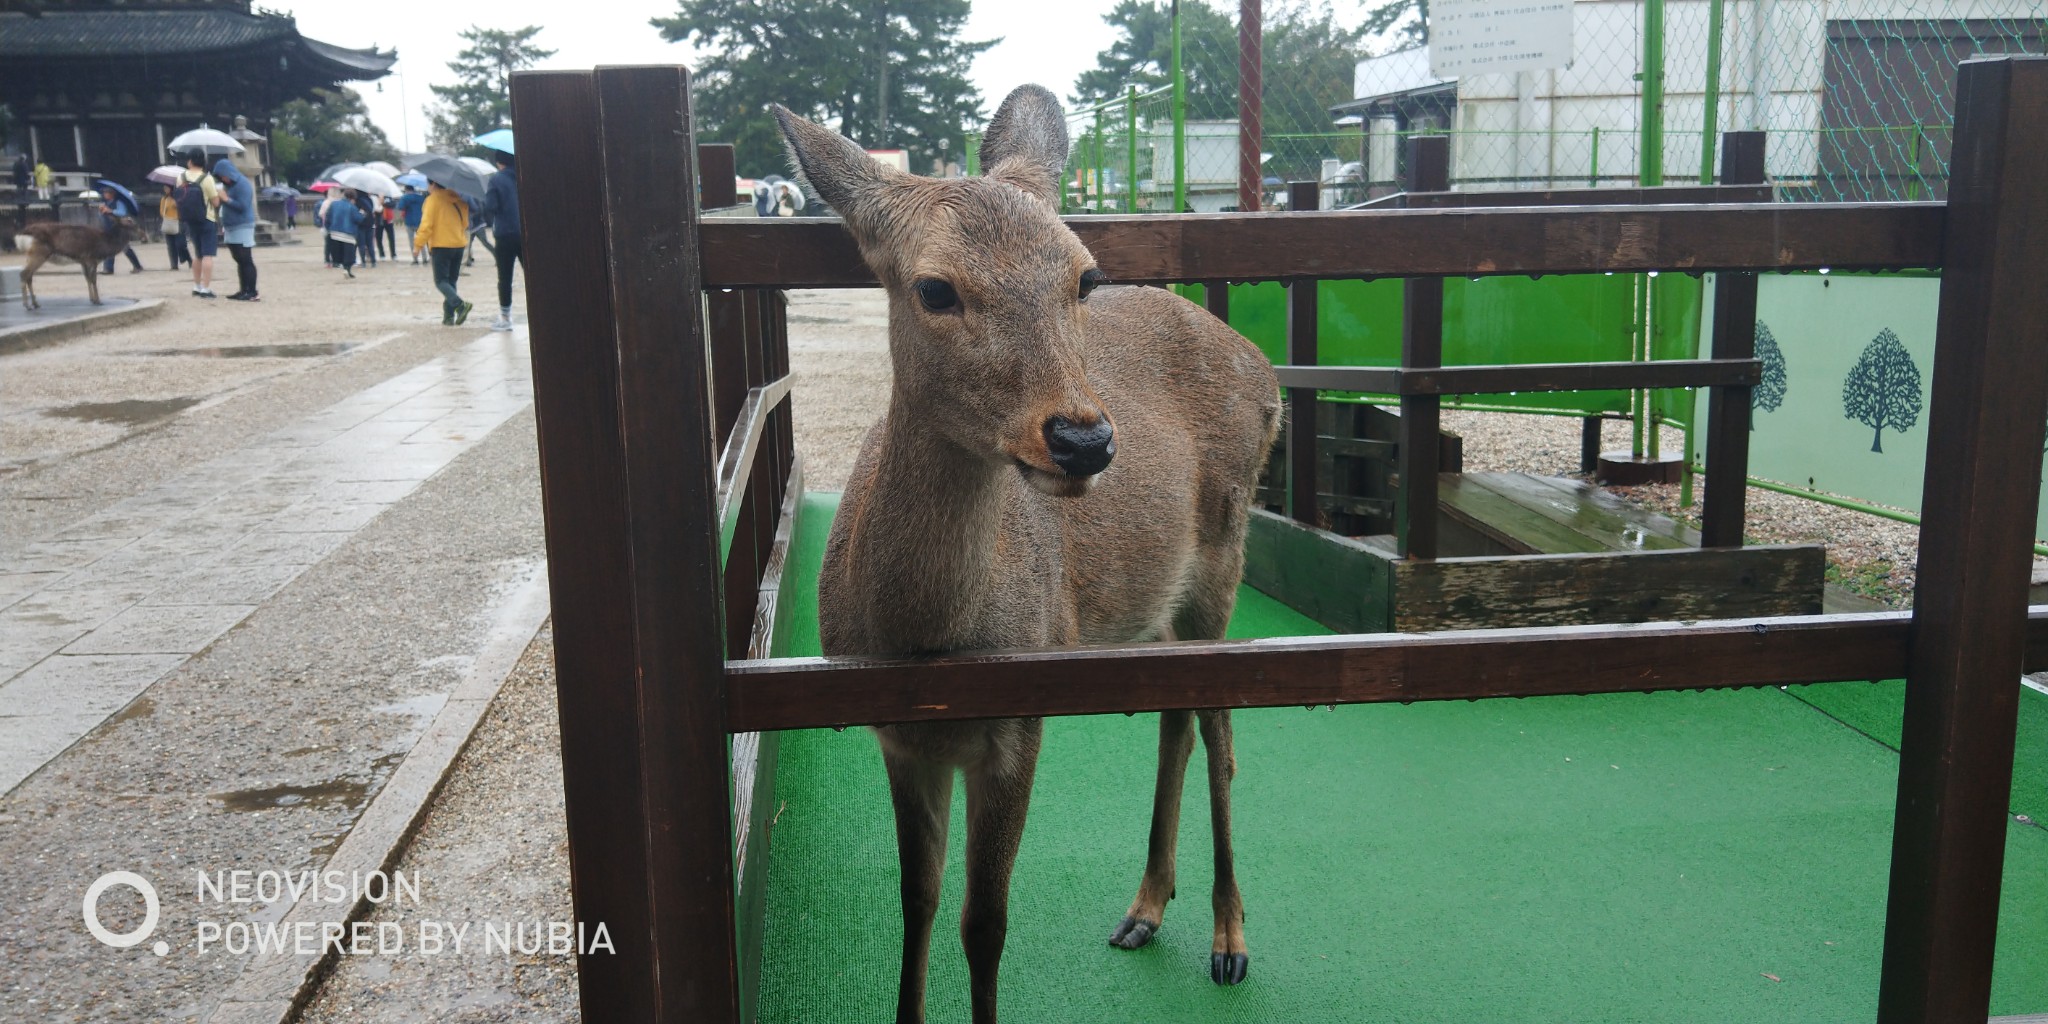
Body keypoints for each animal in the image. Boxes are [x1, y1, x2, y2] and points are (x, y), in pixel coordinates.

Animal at [782, 81, 1277, 1024]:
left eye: (1084, 275)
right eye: (934, 287)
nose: (1083, 439)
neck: (928, 643)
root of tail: (1265, 369)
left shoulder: (1022, 714)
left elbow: (985, 922)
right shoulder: (897, 738)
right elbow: (917, 900)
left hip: (1225, 553)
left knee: (1224, 731)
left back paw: (1232, 938)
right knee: (1178, 717)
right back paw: (1144, 908)